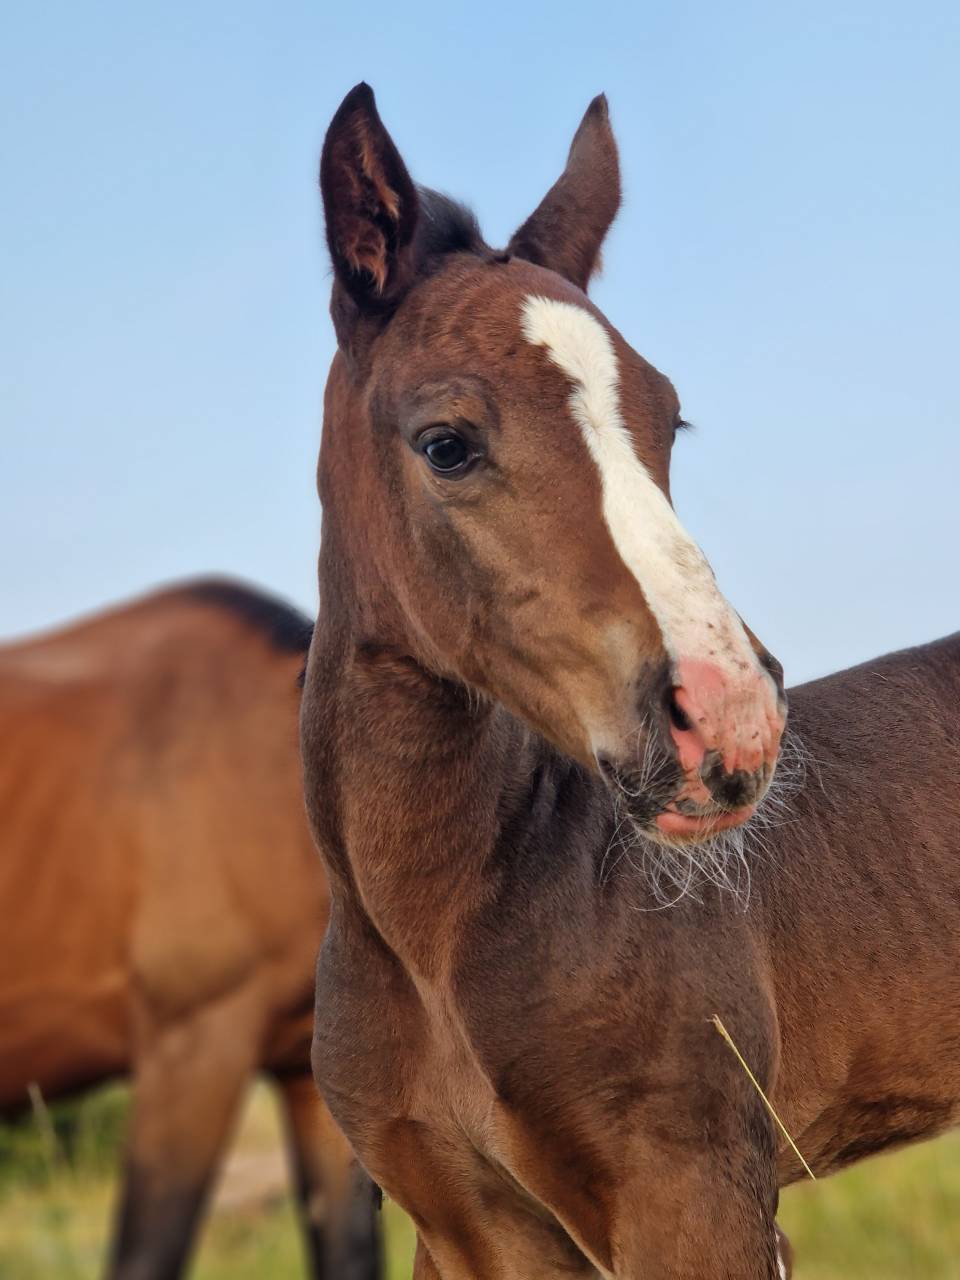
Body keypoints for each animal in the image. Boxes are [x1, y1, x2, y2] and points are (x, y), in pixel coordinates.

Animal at [301, 82, 960, 1278]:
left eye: (668, 418)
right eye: (446, 442)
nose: (733, 721)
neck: (434, 938)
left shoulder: (695, 1194)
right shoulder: (464, 1230)